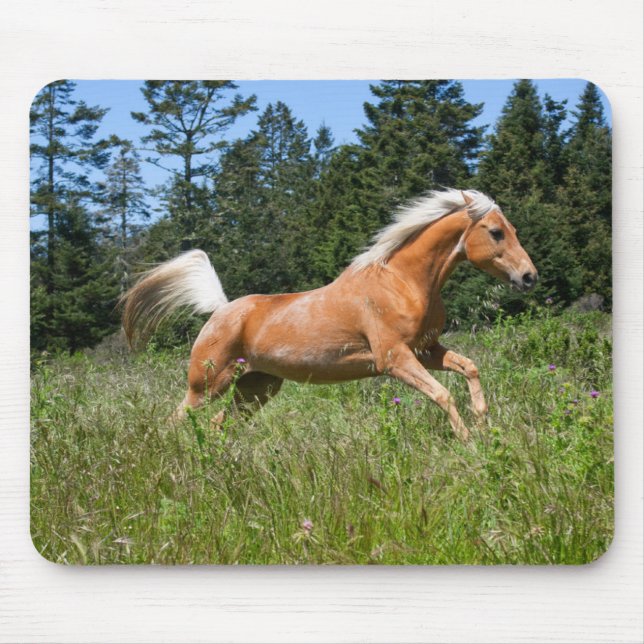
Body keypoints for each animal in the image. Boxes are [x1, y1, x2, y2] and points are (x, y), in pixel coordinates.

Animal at [121, 189, 537, 441]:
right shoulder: (394, 359)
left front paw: (483, 424)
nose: (529, 277)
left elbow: (470, 368)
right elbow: (443, 395)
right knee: (177, 421)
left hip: (256, 388)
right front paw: (468, 442)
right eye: (496, 232)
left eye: (514, 229)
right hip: (207, 385)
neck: (402, 282)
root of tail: (221, 309)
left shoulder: (426, 350)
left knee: (217, 425)